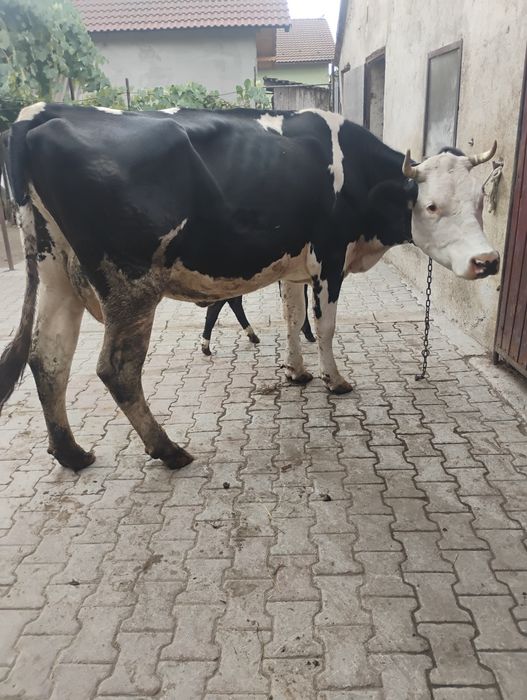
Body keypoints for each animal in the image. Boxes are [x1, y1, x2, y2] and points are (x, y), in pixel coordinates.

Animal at [0, 102, 500, 472]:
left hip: (56, 272)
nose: (488, 261)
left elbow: (293, 318)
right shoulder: (330, 257)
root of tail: (38, 114)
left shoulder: (296, 267)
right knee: (116, 368)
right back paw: (168, 450)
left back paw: (71, 453)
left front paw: (296, 372)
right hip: (130, 282)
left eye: (479, 200)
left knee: (48, 357)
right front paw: (335, 381)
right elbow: (325, 326)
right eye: (431, 205)